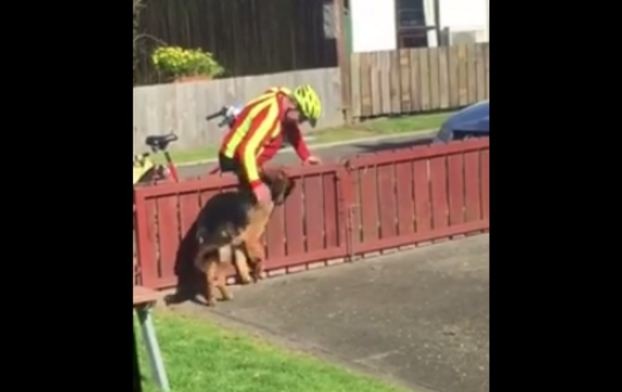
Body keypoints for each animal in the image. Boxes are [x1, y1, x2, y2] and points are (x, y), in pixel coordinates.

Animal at [195, 168, 294, 306]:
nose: (282, 201)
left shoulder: (239, 243)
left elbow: (241, 261)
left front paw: (246, 277)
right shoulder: (251, 238)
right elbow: (261, 257)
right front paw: (257, 272)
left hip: (215, 254)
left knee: (209, 278)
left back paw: (212, 300)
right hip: (225, 251)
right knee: (219, 280)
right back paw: (227, 296)